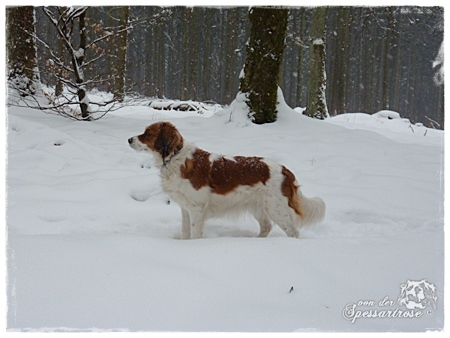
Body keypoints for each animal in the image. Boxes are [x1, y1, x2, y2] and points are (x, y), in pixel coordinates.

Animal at [128, 120, 326, 239]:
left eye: (148, 133)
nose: (129, 139)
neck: (176, 158)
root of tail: (286, 170)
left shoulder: (197, 209)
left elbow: (194, 233)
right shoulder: (185, 208)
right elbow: (185, 231)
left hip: (276, 209)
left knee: (293, 232)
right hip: (260, 207)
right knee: (266, 227)